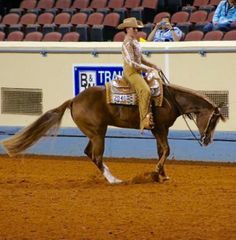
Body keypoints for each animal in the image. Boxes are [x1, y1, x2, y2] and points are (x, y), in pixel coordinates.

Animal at [0, 82, 225, 184]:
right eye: (213, 120)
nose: (207, 141)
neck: (169, 99)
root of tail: (74, 100)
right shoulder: (160, 128)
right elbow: (167, 150)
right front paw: (155, 173)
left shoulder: (159, 130)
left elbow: (161, 151)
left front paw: (162, 175)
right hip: (98, 132)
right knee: (97, 155)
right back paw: (114, 180)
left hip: (94, 133)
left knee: (90, 153)